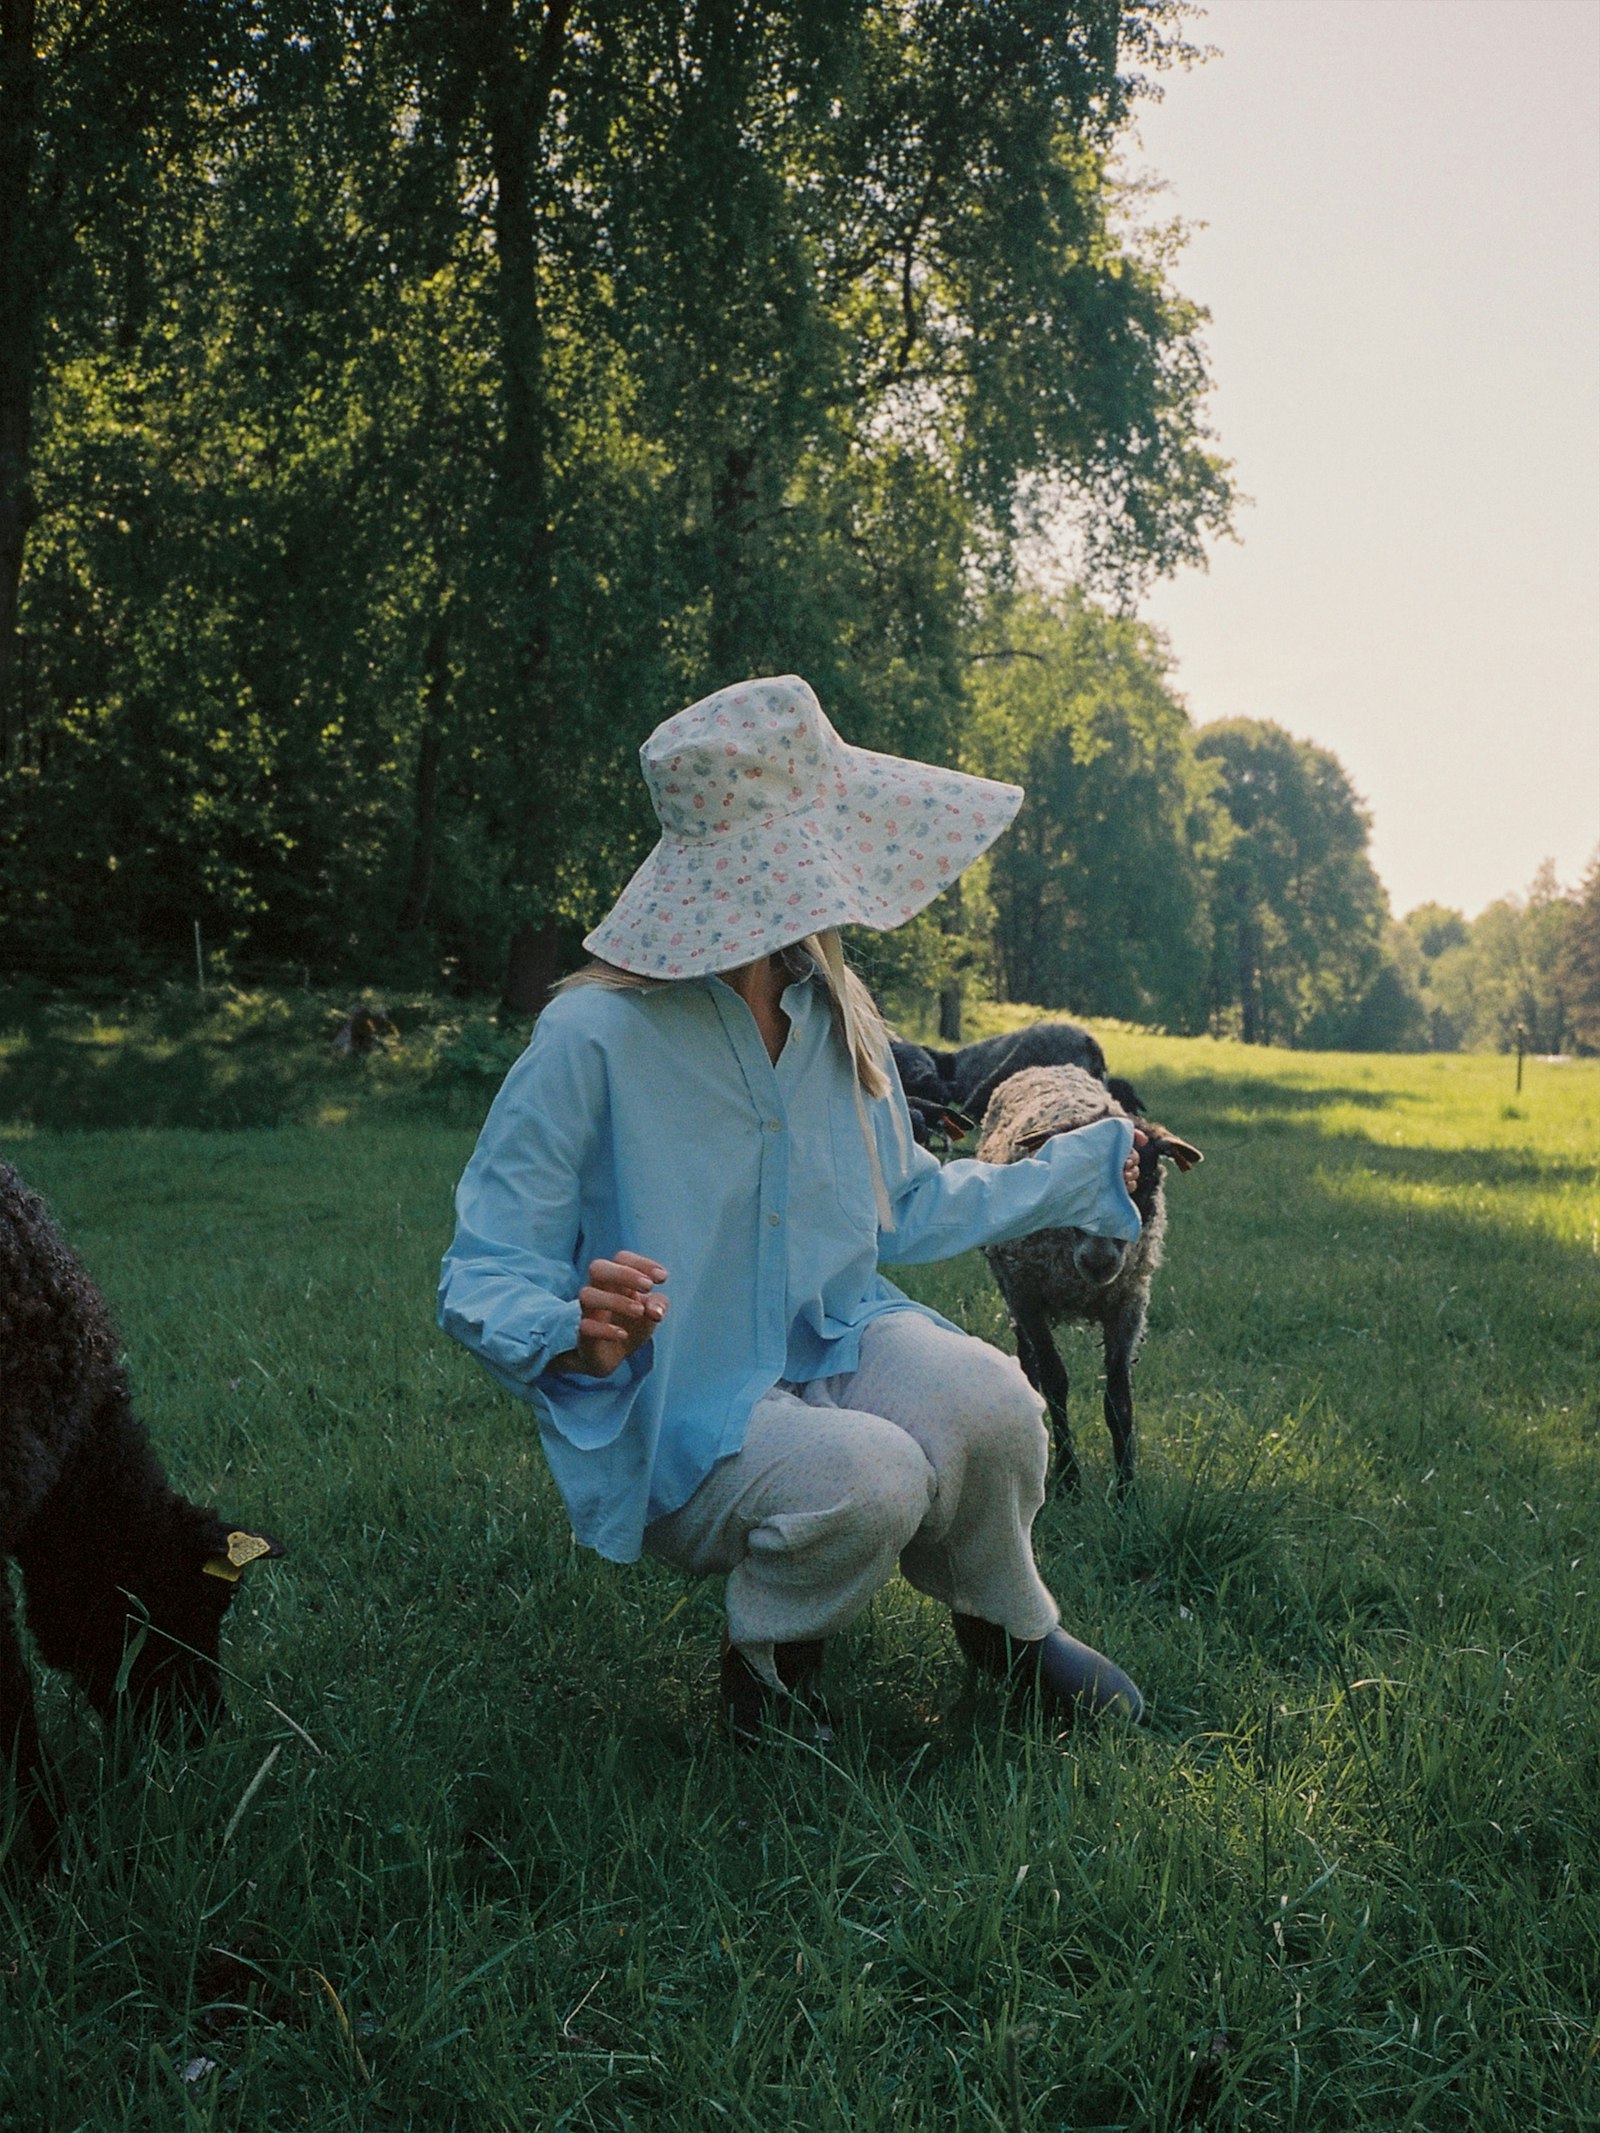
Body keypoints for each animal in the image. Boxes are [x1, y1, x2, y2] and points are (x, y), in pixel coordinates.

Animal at [977, 1066, 1203, 1501]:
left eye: (1142, 1180)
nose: (1099, 1260)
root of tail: (1045, 1066)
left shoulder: (1128, 1303)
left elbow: (1119, 1399)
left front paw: (1127, 1492)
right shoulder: (1028, 1295)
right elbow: (1055, 1383)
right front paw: (1068, 1480)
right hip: (1012, 1287)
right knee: (1029, 1362)